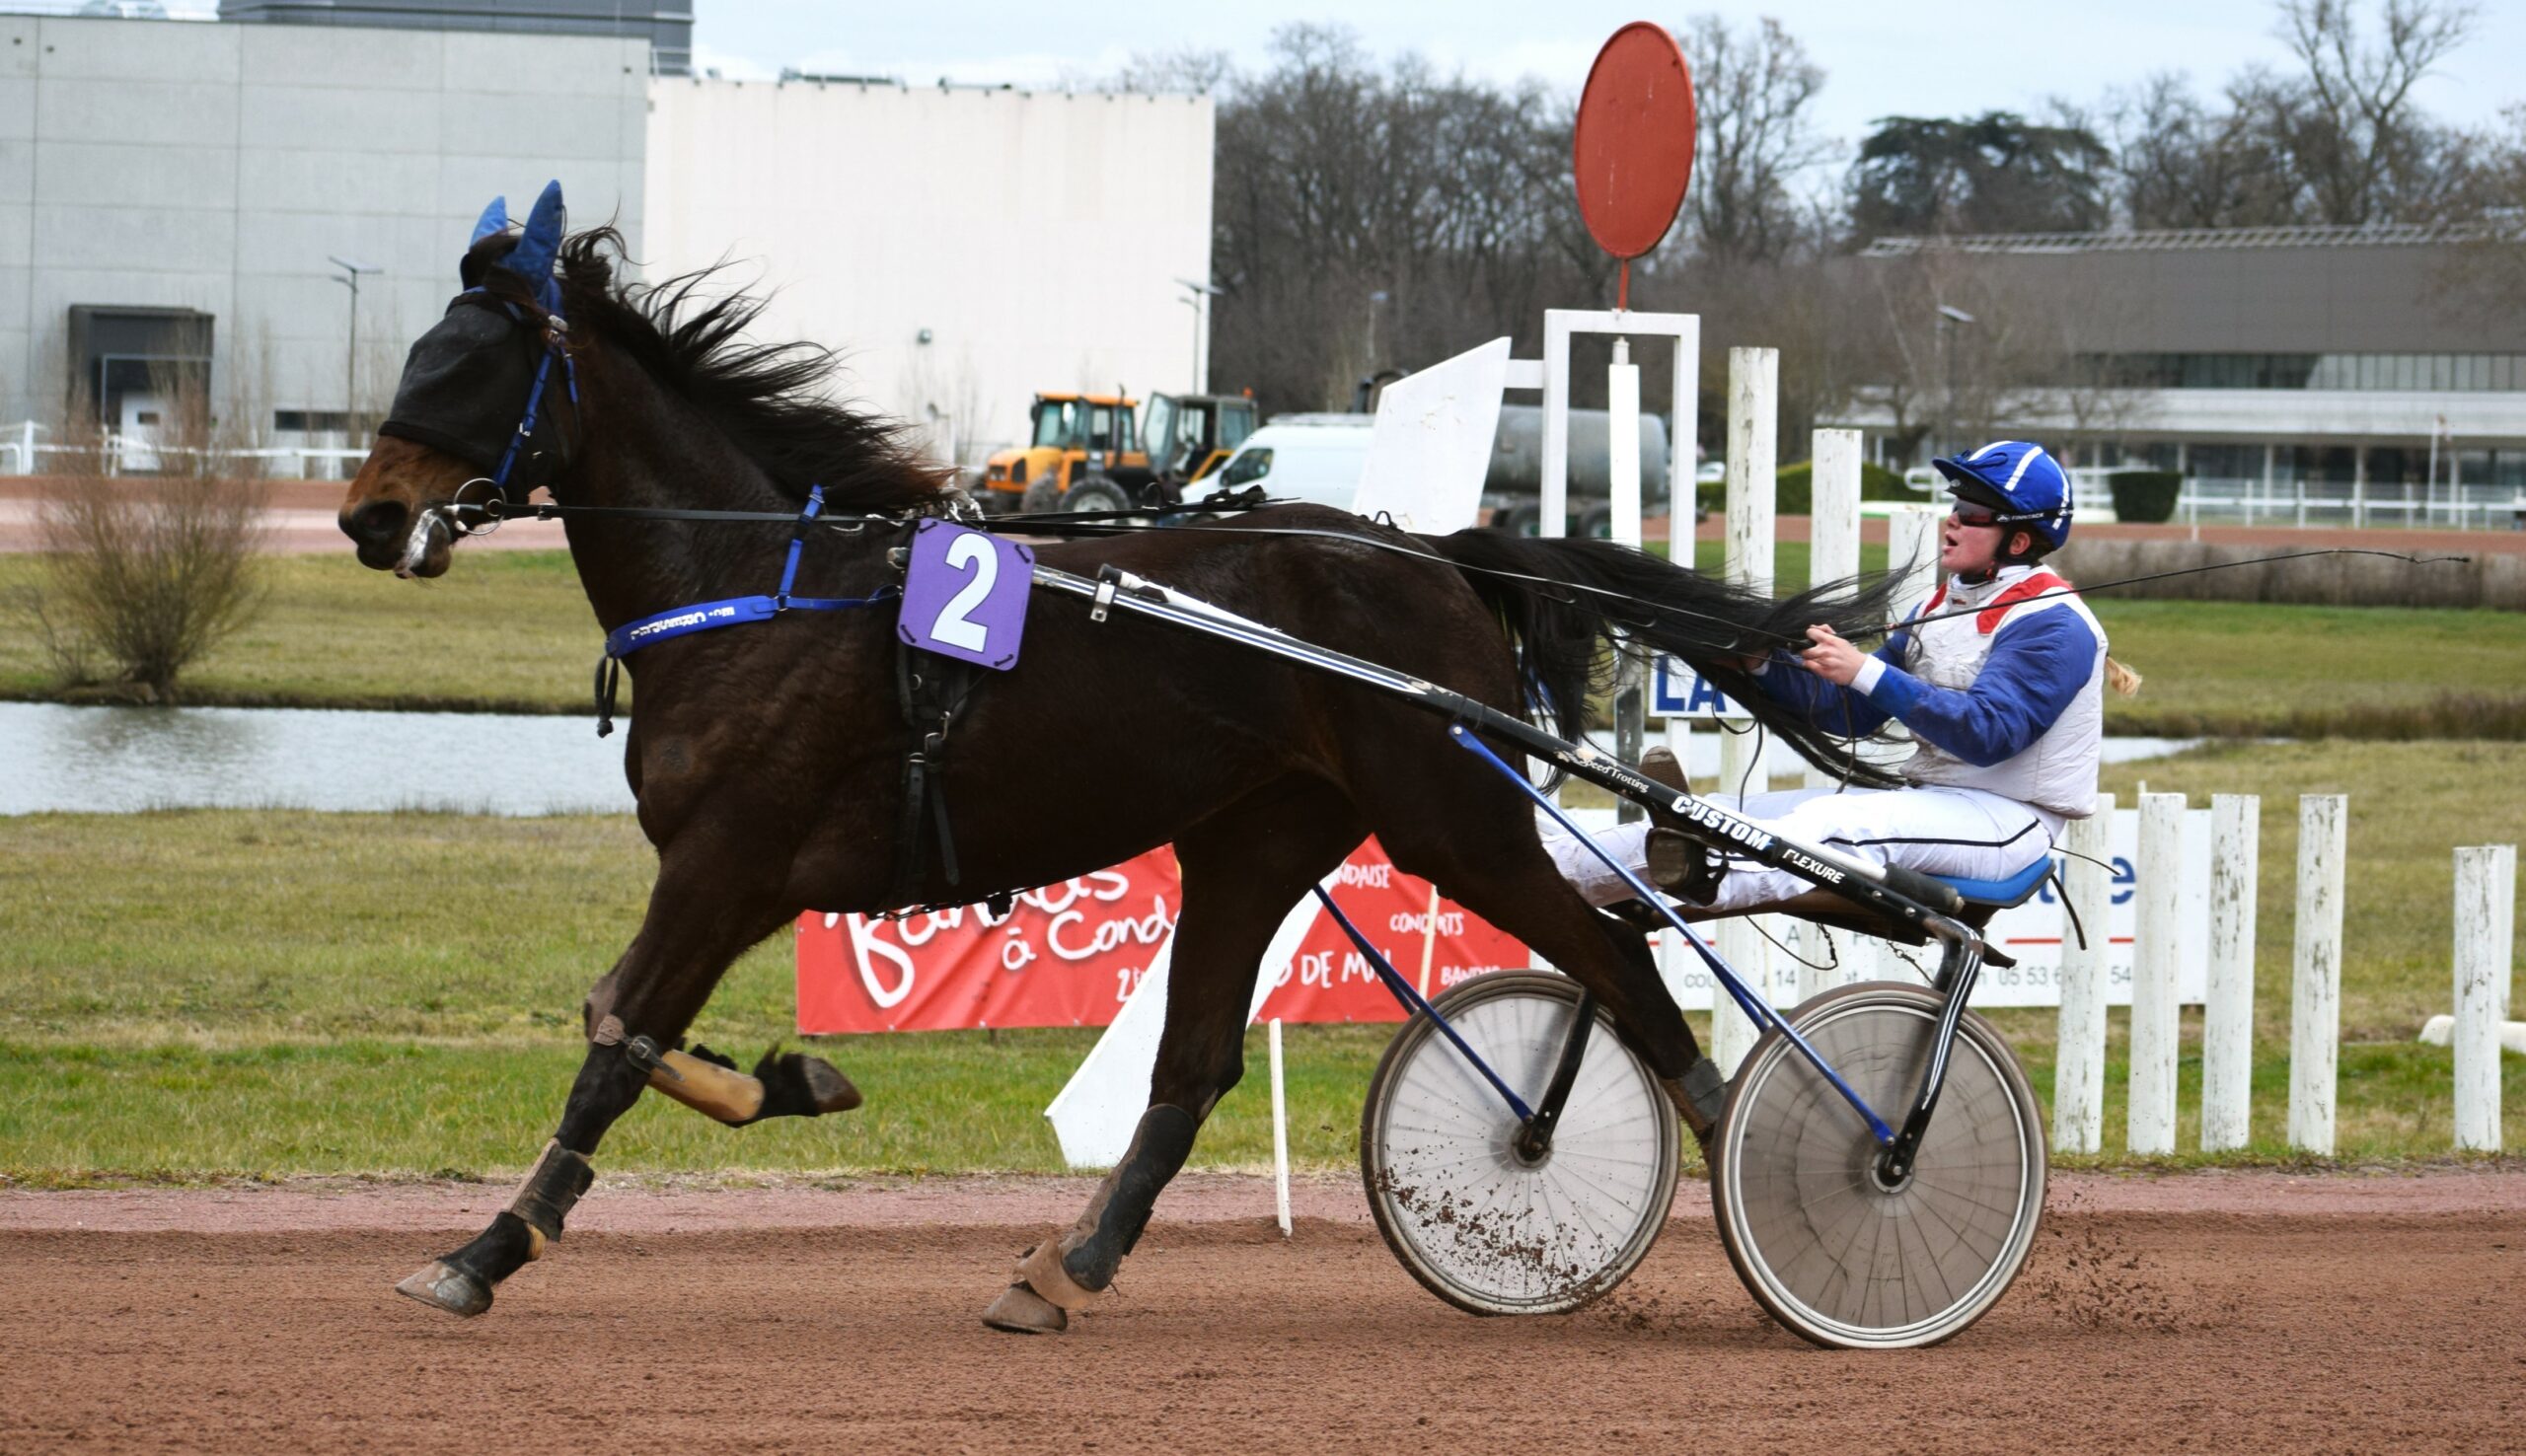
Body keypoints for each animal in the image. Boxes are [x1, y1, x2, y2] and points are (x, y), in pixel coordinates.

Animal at [345, 186, 1899, 1332]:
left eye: (469, 363)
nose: (365, 516)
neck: (759, 591)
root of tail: (1440, 554)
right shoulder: (736, 877)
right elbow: (630, 1029)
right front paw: (781, 1082)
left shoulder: (729, 860)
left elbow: (614, 1039)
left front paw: (488, 1248)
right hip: (1256, 837)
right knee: (1197, 1061)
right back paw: (1063, 1267)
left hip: (1454, 815)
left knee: (1621, 963)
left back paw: (1782, 1174)